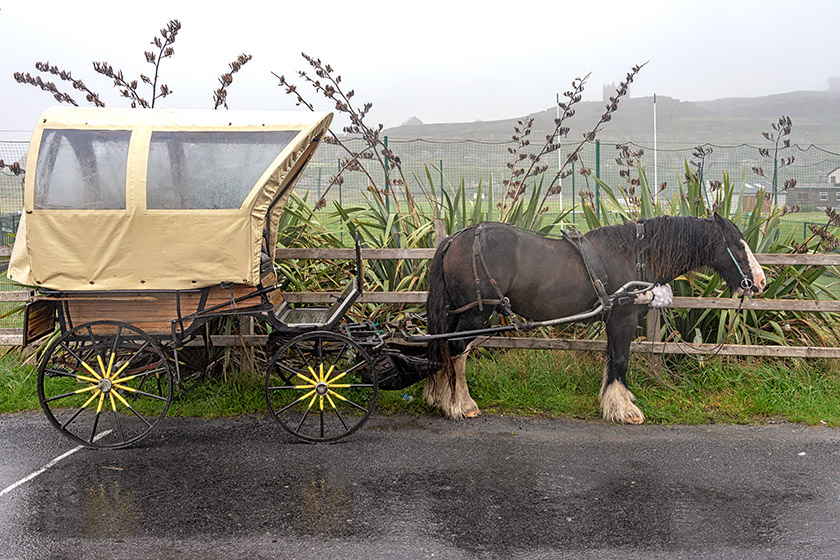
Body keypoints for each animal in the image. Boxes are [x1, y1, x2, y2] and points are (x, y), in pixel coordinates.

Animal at [426, 212, 768, 422]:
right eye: (737, 245)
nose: (760, 282)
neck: (636, 254)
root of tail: (458, 238)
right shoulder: (624, 317)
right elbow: (620, 360)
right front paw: (624, 409)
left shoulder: (613, 318)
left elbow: (610, 359)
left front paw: (614, 402)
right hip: (476, 313)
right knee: (456, 351)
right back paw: (459, 405)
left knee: (446, 351)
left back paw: (440, 398)